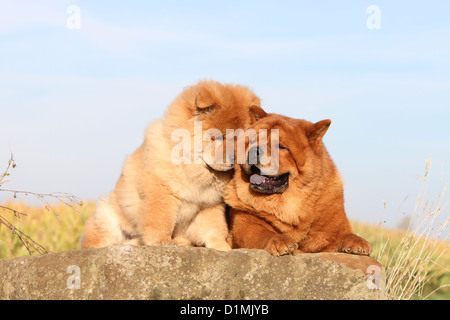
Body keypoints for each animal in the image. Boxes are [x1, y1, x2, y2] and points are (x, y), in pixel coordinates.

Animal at [80, 80, 268, 250]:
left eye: (242, 140)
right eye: (220, 138)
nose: (235, 157)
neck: (195, 169)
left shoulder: (209, 203)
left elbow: (214, 228)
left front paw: (221, 247)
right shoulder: (162, 193)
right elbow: (161, 221)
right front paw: (162, 242)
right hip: (106, 215)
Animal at [225, 114, 372, 256]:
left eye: (281, 147)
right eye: (252, 141)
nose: (253, 151)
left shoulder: (334, 226)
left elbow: (345, 234)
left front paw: (358, 243)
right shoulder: (246, 224)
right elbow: (264, 233)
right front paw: (281, 241)